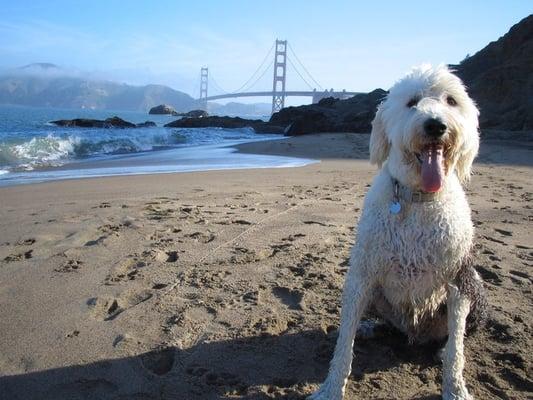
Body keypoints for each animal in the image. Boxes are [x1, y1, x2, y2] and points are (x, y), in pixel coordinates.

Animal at [308, 64, 486, 398]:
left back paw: (440, 349)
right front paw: (331, 387)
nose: (435, 125)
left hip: (476, 286)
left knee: (459, 334)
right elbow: (344, 342)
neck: (417, 199)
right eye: (412, 102)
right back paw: (370, 327)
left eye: (451, 101)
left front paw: (455, 389)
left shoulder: (458, 280)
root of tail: (415, 333)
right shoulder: (362, 273)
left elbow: (456, 348)